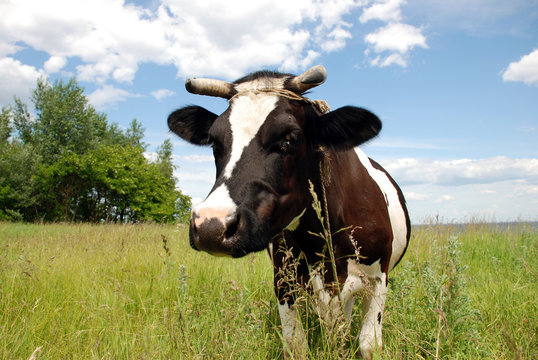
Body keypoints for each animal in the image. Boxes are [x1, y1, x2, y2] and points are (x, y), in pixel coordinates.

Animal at [168, 65, 410, 360]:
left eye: (289, 138)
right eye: (215, 142)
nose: (211, 226)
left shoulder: (378, 278)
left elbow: (368, 344)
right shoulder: (284, 279)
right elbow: (295, 345)